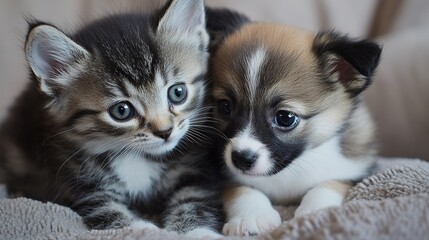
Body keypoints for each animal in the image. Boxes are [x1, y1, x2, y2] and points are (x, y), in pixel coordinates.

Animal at [0, 0, 224, 236]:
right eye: (122, 110)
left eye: (178, 92)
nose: (165, 131)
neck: (136, 156)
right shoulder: (80, 184)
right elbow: (108, 211)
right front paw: (142, 230)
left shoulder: (194, 172)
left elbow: (194, 200)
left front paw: (196, 231)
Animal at [209, 20, 380, 234]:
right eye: (225, 107)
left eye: (285, 117)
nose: (241, 159)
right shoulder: (223, 175)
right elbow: (241, 189)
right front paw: (251, 217)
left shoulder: (357, 172)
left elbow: (328, 184)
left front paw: (316, 211)